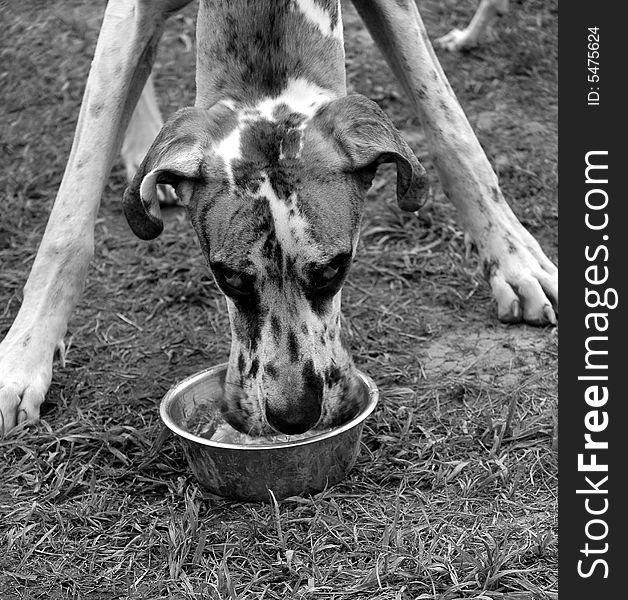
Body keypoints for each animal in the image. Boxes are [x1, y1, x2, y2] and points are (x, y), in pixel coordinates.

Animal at [0, 0, 556, 436]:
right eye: (227, 278)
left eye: (335, 269)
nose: (294, 417)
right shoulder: (127, 16)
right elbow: (69, 219)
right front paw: (22, 361)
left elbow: (452, 132)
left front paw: (515, 262)